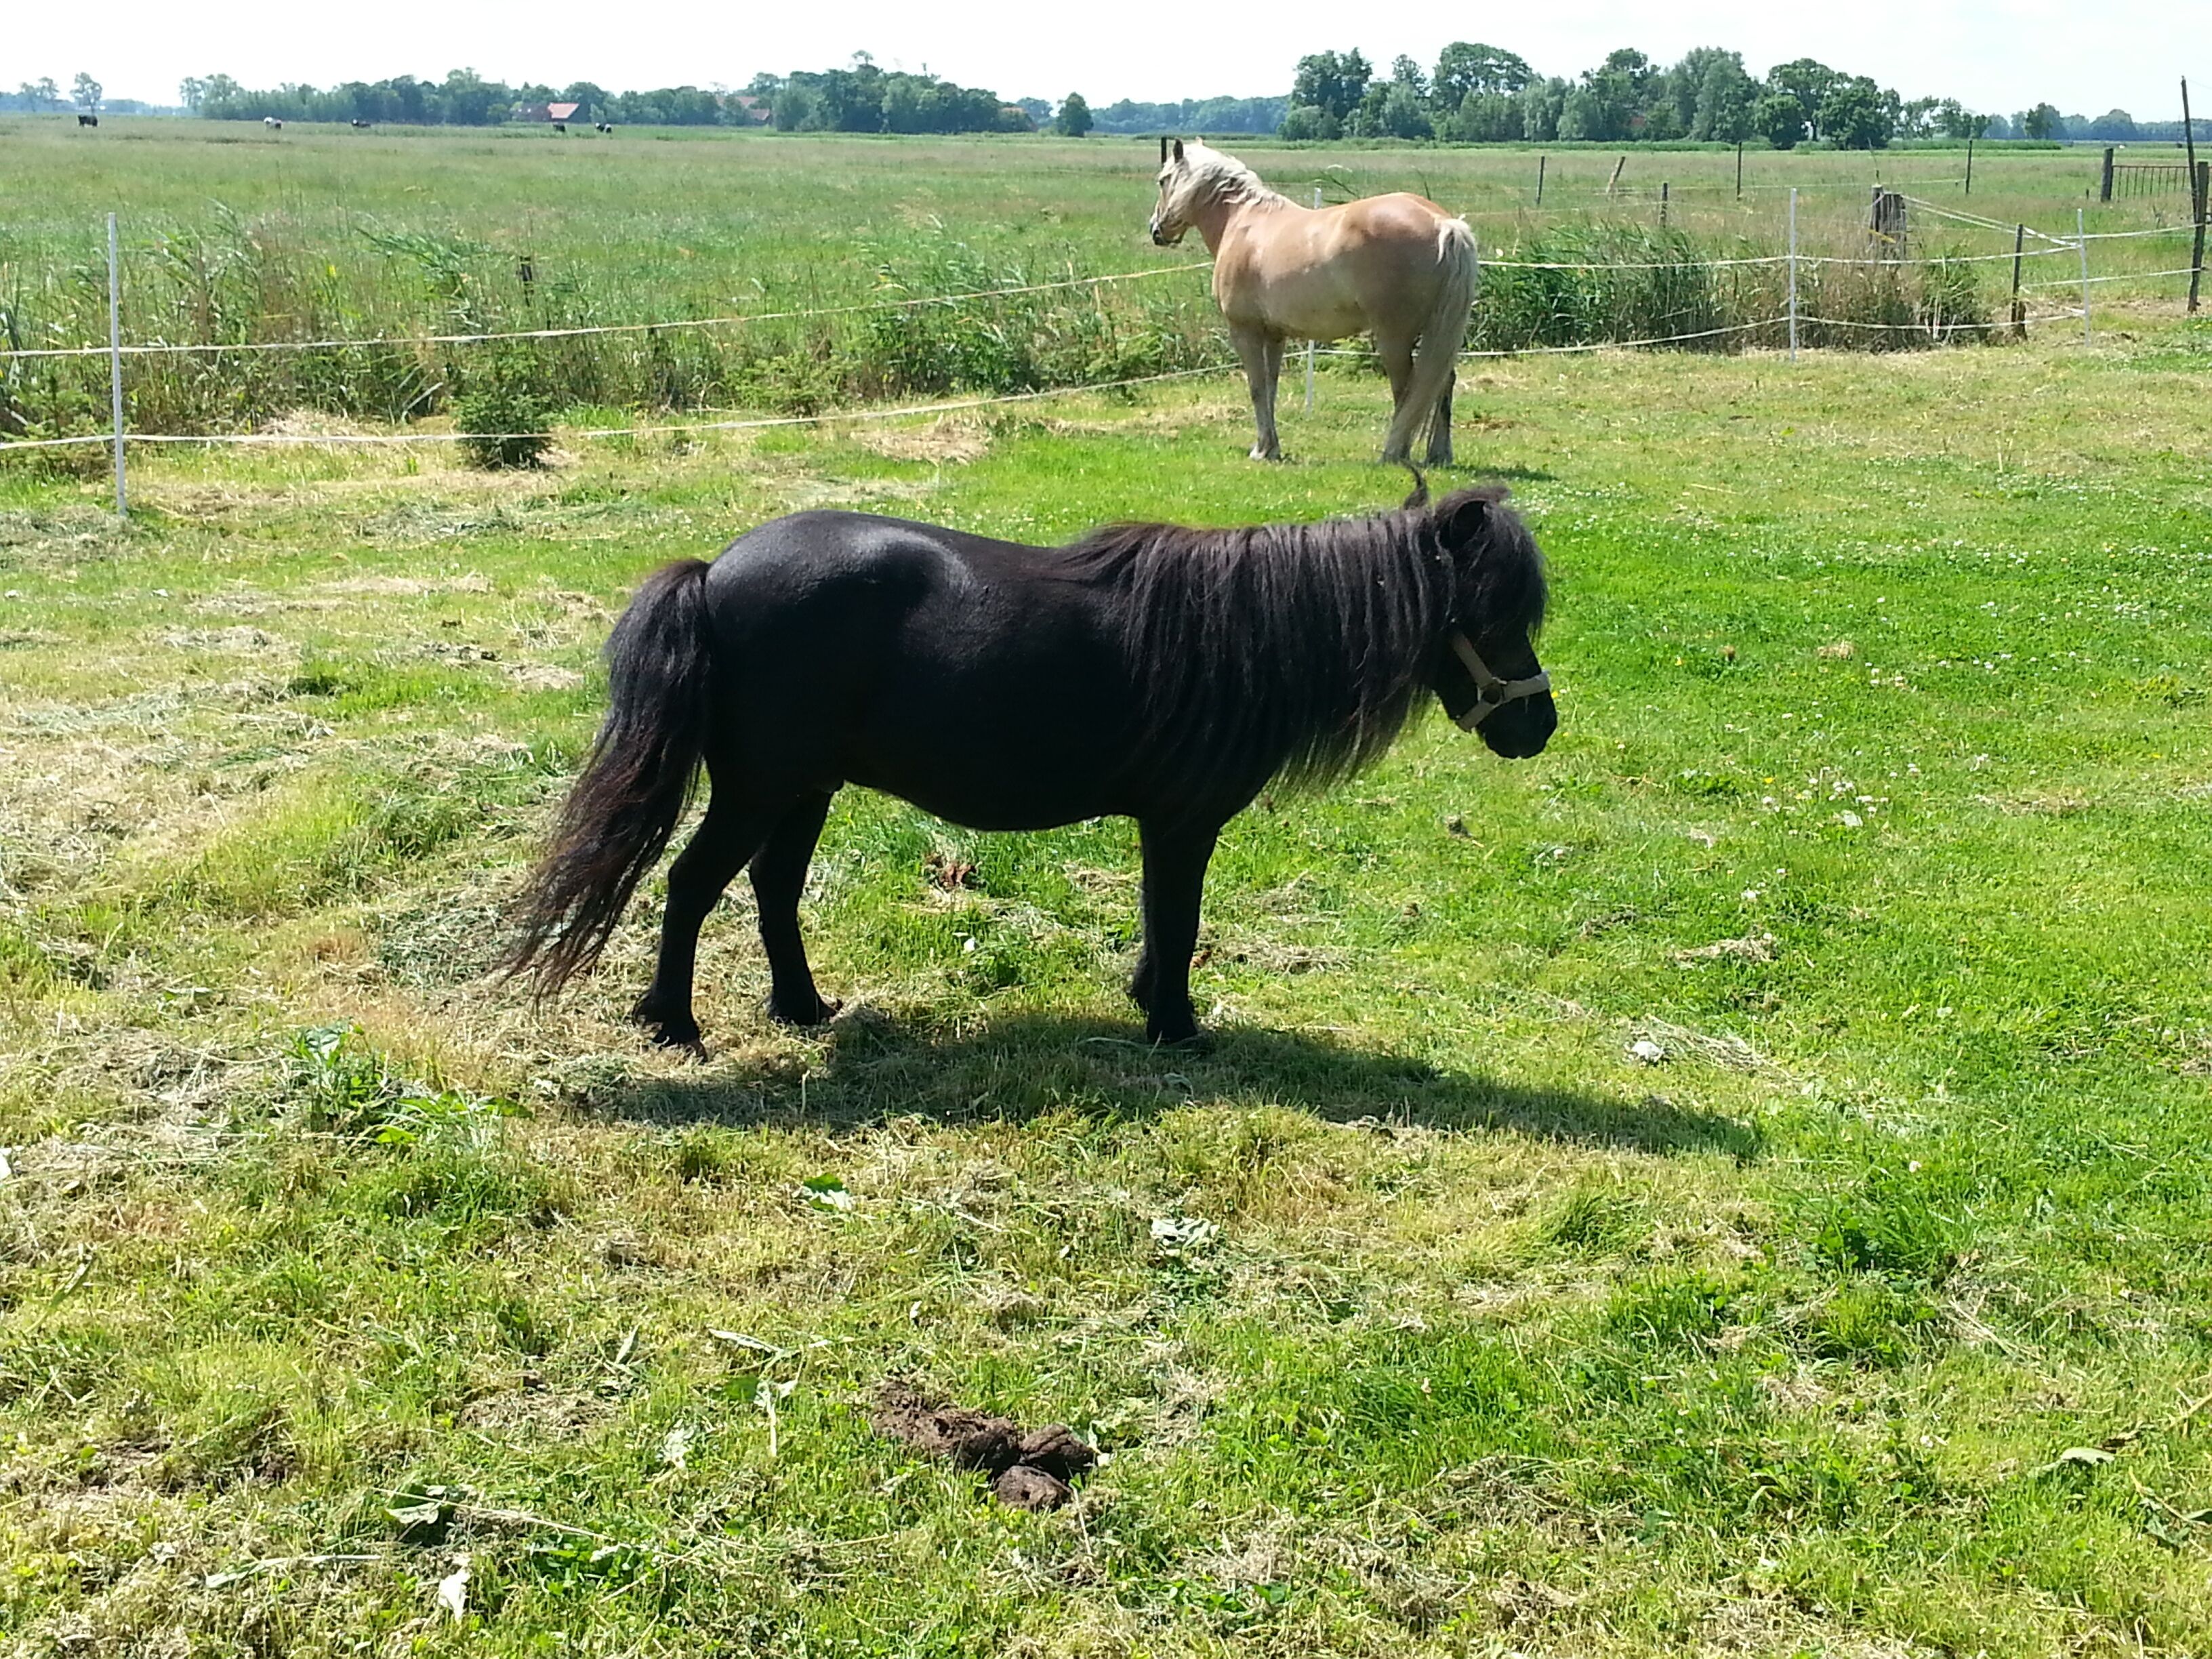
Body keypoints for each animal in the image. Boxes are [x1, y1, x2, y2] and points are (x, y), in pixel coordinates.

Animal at [503, 483, 1555, 1054]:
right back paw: (672, 1024)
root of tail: (715, 572)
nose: (1537, 728)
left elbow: (1159, 921)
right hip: (761, 788)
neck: (1243, 633)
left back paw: (802, 1009)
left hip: (804, 789)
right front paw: (1175, 1027)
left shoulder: (1165, 825)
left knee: (772, 889)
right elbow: (1179, 924)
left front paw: (1149, 1005)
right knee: (691, 883)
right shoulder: (1183, 822)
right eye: (1494, 612)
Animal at [1149, 139, 1477, 468]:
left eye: (1163, 180)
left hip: (1394, 337)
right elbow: (1270, 387)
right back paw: (1439, 454)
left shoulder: (1245, 331)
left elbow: (1257, 388)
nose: (1156, 230)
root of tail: (1442, 223)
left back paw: (1393, 453)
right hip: (1437, 332)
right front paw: (1271, 448)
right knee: (1442, 382)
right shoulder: (1275, 335)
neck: (1242, 221)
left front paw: (1261, 450)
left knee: (1408, 389)